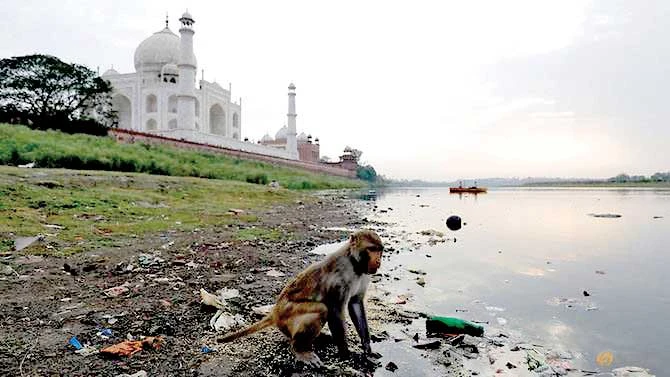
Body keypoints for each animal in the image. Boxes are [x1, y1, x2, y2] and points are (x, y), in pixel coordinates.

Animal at [218, 228, 386, 366]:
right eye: (371, 249)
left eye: (380, 250)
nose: (378, 260)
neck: (354, 264)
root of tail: (275, 311)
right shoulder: (339, 279)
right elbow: (335, 310)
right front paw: (347, 354)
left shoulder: (365, 275)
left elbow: (356, 304)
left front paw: (367, 347)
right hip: (286, 315)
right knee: (321, 309)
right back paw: (299, 349)